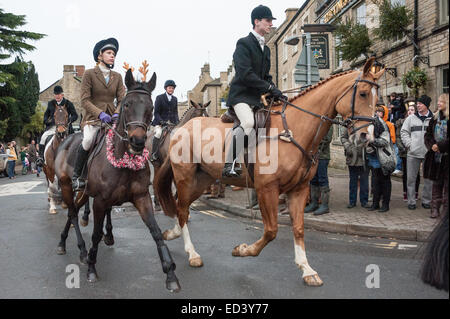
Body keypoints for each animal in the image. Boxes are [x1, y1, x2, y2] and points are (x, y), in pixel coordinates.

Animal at [52, 69, 179, 292]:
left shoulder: (141, 197)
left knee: (73, 210)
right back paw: (81, 250)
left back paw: (63, 242)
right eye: (127, 104)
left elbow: (155, 231)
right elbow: (95, 234)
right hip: (68, 186)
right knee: (73, 214)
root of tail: (65, 140)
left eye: (151, 107)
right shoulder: (101, 201)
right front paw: (92, 269)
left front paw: (170, 272)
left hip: (84, 192)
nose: (138, 142)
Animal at [154, 57, 384, 288]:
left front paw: (307, 269)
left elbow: (298, 228)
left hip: (203, 180)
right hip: (185, 177)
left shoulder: (299, 189)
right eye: (363, 93)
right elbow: (271, 230)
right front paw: (243, 250)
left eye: (378, 96)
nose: (367, 136)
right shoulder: (267, 188)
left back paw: (172, 234)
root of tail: (180, 129)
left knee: (181, 207)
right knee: (182, 208)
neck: (292, 131)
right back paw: (192, 253)